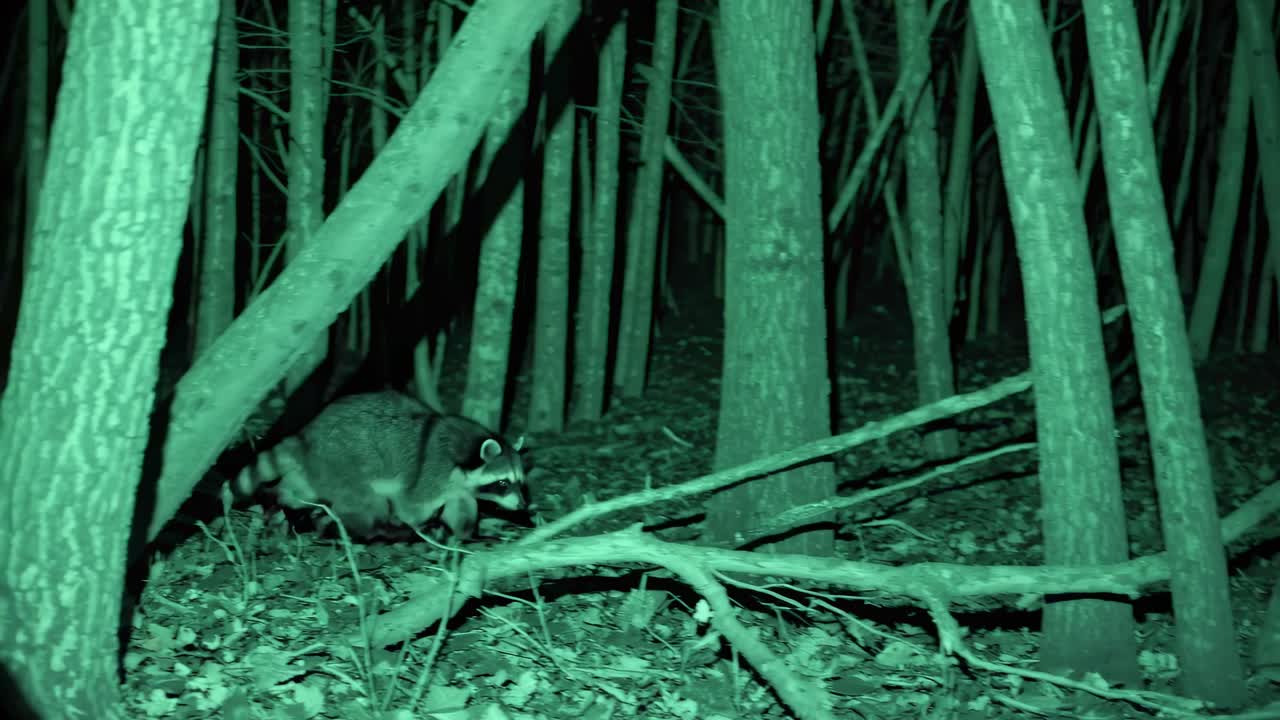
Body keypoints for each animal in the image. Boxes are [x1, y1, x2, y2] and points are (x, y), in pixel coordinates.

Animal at [235, 391, 527, 541]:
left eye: (520, 482)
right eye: (503, 483)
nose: (524, 506)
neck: (466, 450)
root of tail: (307, 434)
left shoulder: (459, 487)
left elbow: (463, 507)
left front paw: (466, 533)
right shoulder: (431, 471)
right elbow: (412, 505)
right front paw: (421, 526)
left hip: (320, 465)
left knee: (300, 490)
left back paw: (285, 500)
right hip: (341, 460)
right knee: (365, 502)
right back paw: (372, 530)